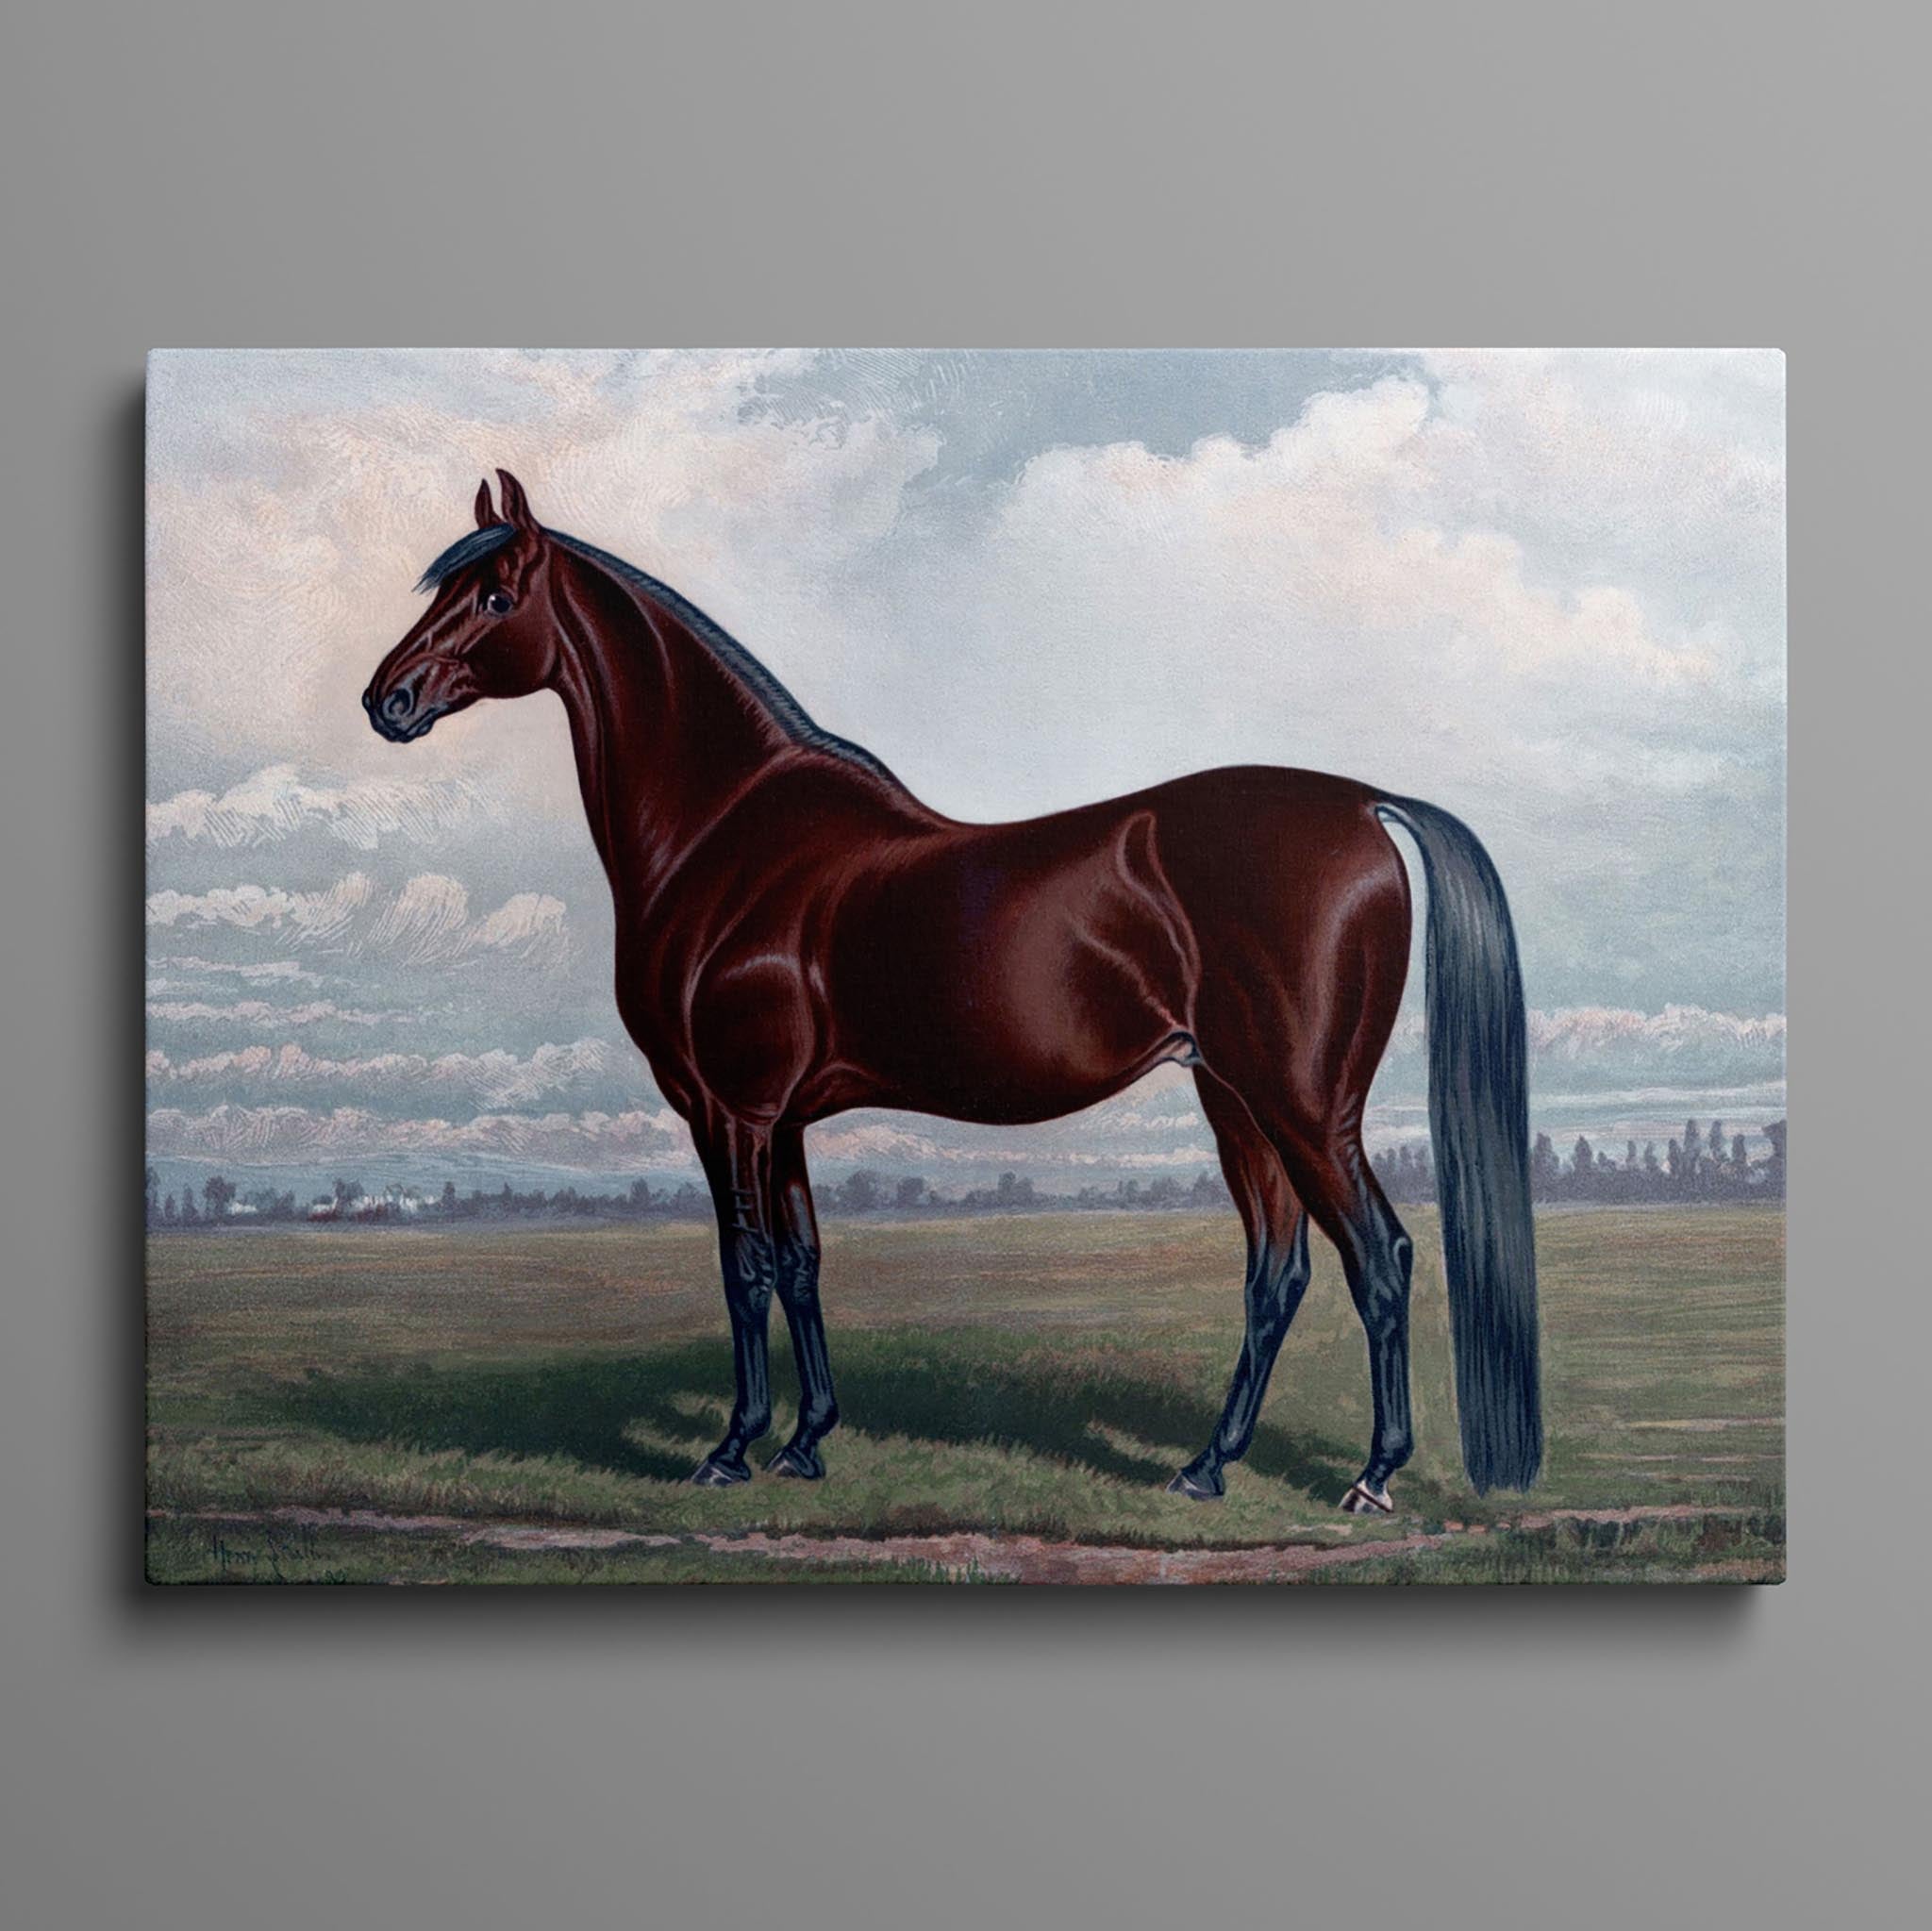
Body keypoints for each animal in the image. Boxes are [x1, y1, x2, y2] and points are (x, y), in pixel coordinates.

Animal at [363, 470, 1541, 1511]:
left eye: (496, 596)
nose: (387, 700)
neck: (727, 832)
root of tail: (1363, 805)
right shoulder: (784, 1118)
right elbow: (802, 1261)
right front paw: (806, 1442)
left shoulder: (728, 1110)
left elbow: (744, 1265)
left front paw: (732, 1449)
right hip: (1235, 1098)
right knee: (1276, 1271)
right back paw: (1204, 1466)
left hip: (1301, 1103)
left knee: (1377, 1259)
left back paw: (1370, 1476)